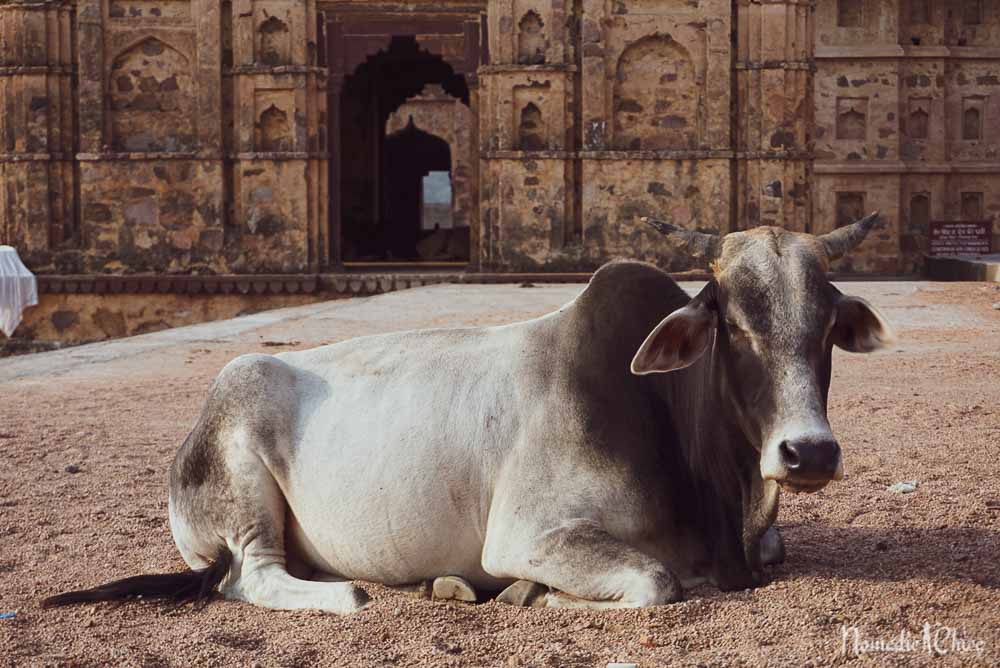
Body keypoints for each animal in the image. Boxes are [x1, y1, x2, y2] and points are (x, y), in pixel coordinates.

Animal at [43, 213, 896, 612]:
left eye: (827, 323)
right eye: (735, 323)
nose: (809, 453)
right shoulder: (529, 533)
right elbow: (658, 582)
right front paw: (527, 593)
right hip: (242, 471)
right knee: (249, 578)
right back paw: (355, 593)